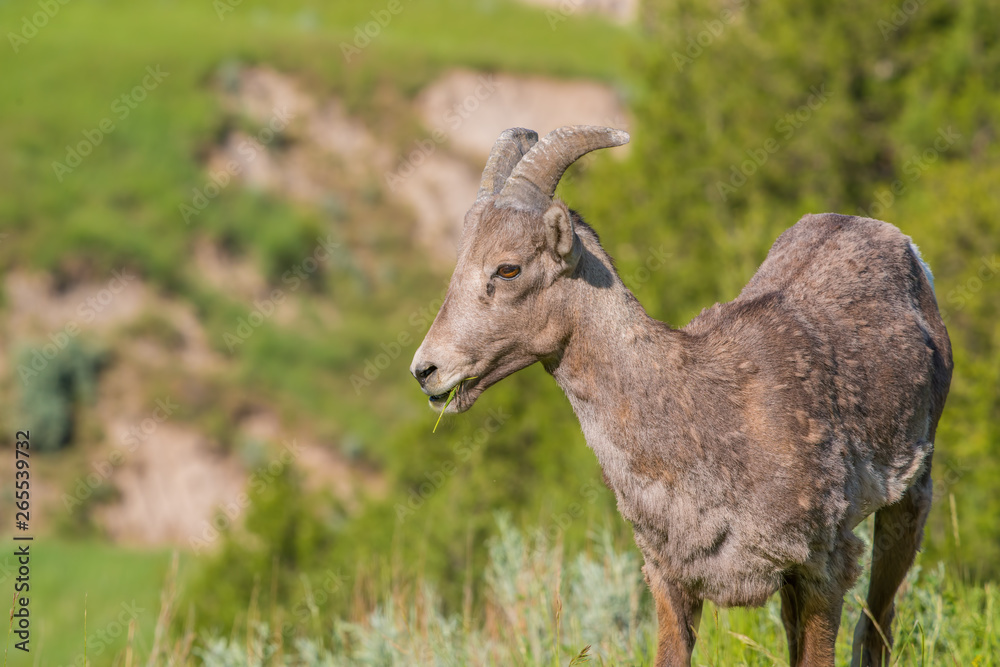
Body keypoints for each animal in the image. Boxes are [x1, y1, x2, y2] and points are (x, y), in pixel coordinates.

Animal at [408, 126, 952, 667]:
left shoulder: (825, 568)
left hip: (909, 501)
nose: (426, 371)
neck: (704, 426)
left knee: (878, 624)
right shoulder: (671, 580)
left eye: (507, 269)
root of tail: (902, 245)